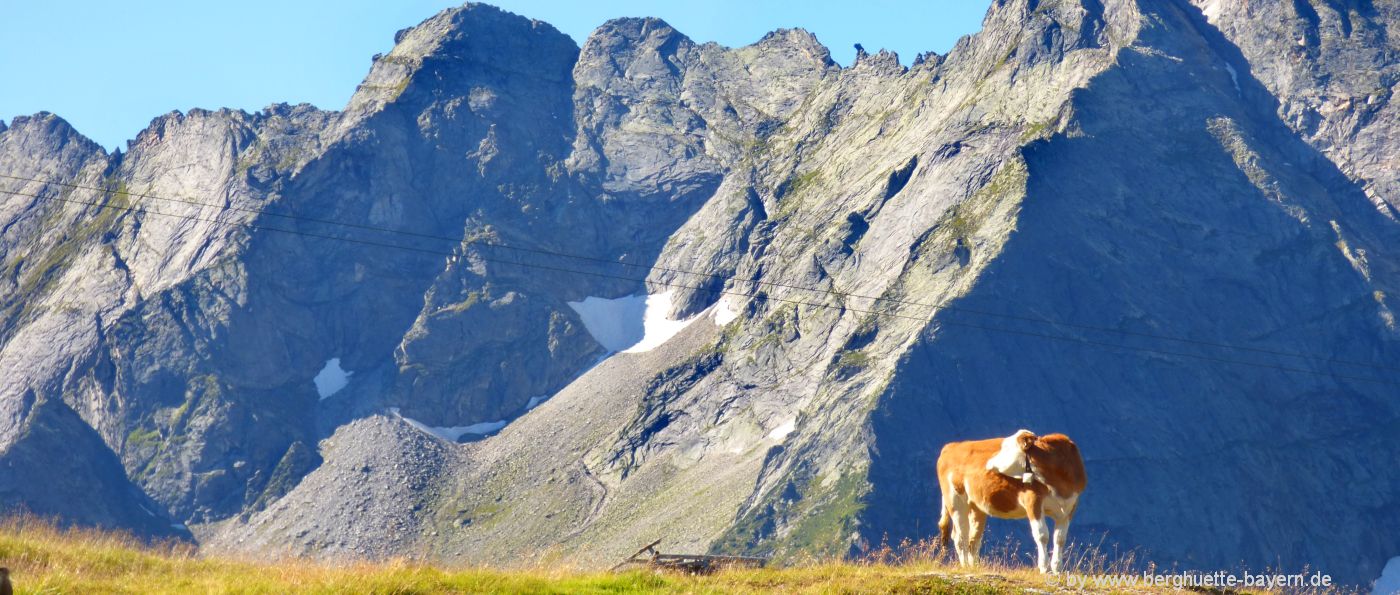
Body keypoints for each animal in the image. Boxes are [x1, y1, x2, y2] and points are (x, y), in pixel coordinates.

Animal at [935, 428, 1086, 574]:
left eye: (1006, 448)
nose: (987, 464)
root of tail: (952, 446)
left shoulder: (1069, 507)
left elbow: (1060, 538)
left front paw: (1057, 569)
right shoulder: (1033, 501)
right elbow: (1042, 535)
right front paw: (1044, 568)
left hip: (976, 506)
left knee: (974, 539)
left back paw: (974, 567)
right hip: (955, 500)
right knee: (960, 537)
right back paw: (965, 566)